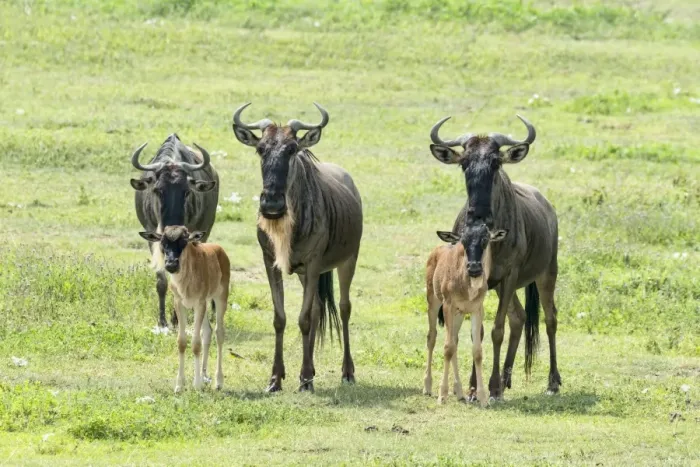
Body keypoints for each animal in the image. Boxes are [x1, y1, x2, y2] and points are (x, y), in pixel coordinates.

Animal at [130, 134, 219, 328]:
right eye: (157, 190)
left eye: (186, 191)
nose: (172, 228)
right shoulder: (152, 238)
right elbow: (162, 281)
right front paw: (163, 321)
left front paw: (177, 318)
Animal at [139, 226, 230, 392]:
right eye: (163, 242)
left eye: (184, 241)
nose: (171, 264)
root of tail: (219, 250)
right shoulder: (180, 303)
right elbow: (182, 342)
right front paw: (179, 385)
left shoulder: (199, 303)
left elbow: (195, 343)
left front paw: (197, 385)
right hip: (204, 304)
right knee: (207, 332)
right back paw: (204, 375)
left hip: (220, 297)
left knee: (219, 333)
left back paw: (218, 381)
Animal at [231, 102, 363, 393]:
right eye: (261, 149)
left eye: (292, 149)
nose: (271, 204)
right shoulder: (271, 262)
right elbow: (281, 318)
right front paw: (276, 379)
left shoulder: (313, 264)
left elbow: (303, 319)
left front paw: (304, 380)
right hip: (305, 274)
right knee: (316, 309)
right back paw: (311, 370)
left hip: (348, 260)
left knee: (344, 308)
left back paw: (346, 373)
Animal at [424, 225, 509, 407]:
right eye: (463, 241)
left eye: (485, 240)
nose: (474, 268)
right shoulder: (448, 305)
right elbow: (447, 347)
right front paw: (442, 395)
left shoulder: (476, 309)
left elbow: (476, 350)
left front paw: (483, 398)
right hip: (433, 300)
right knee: (432, 337)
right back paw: (427, 386)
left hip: (459, 314)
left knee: (455, 340)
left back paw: (459, 391)